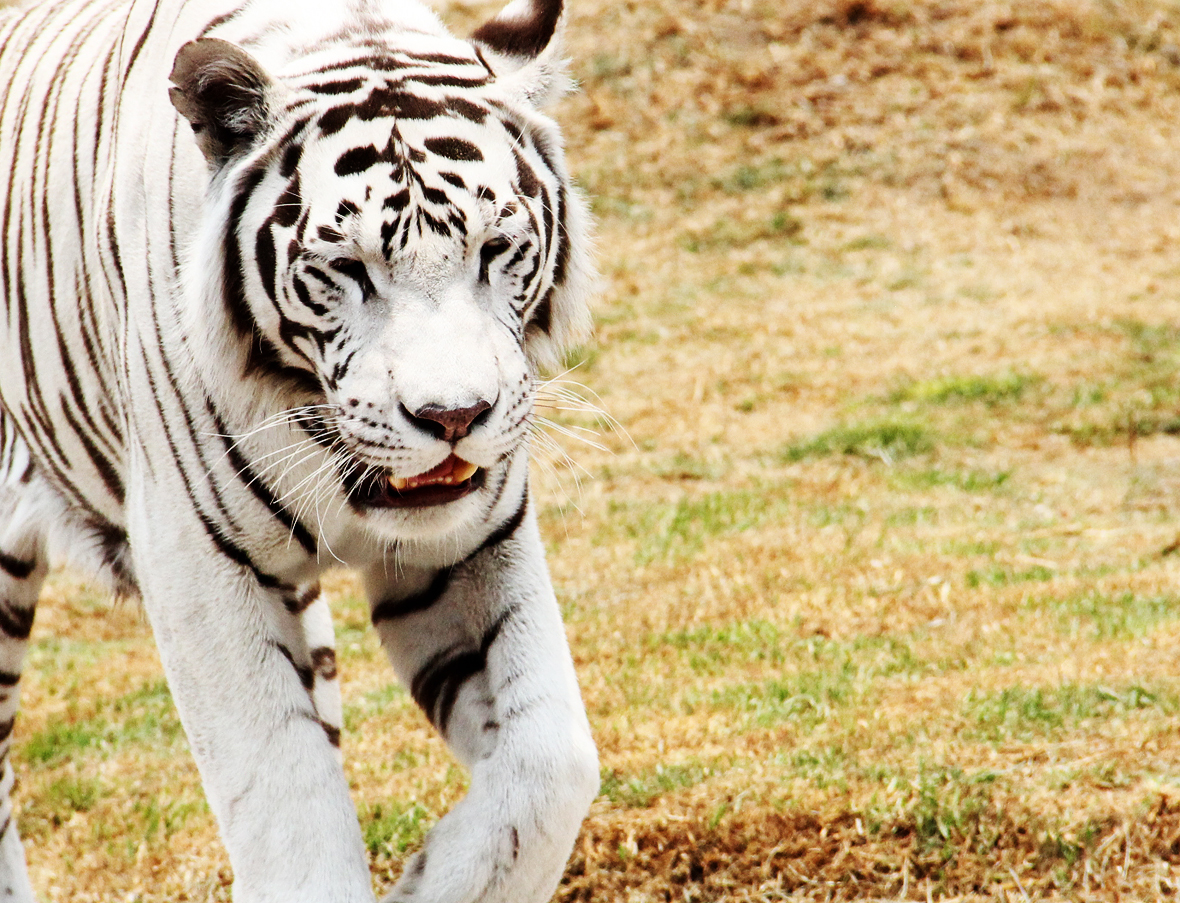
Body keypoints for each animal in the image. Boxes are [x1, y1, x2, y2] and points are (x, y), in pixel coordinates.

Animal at [0, 0, 599, 897]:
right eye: (347, 268)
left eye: (496, 248)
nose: (454, 416)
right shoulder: (197, 562)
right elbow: (287, 808)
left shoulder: (473, 538)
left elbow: (551, 765)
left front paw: (429, 874)